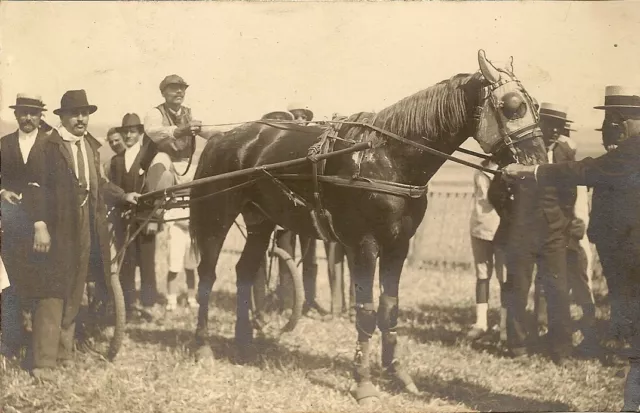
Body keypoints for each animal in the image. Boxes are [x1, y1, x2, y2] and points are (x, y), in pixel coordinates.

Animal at [190, 50, 552, 402]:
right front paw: (363, 383)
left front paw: (397, 374)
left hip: (260, 219)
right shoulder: (364, 245)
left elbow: (389, 309)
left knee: (244, 271)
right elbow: (365, 311)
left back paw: (243, 342)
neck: (386, 159)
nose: (537, 162)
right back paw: (203, 345)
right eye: (513, 106)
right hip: (215, 216)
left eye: (534, 105)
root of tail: (222, 137)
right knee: (206, 276)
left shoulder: (398, 245)